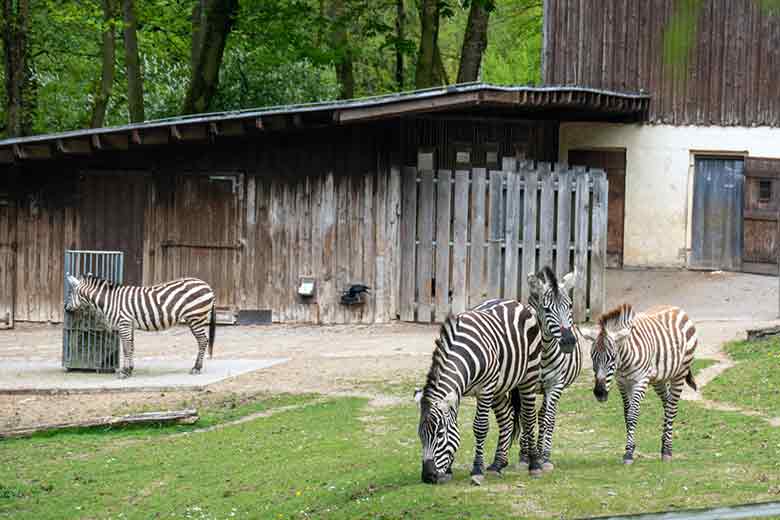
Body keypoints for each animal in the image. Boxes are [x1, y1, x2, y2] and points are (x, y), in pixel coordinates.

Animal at [63, 274, 215, 380]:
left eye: (70, 294)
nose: (66, 308)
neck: (111, 301)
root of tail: (208, 286)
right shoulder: (129, 325)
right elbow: (131, 346)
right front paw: (130, 369)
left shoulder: (124, 323)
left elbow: (126, 348)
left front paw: (124, 372)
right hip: (195, 318)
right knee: (203, 341)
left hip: (195, 317)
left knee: (203, 341)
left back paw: (196, 368)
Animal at [414, 298, 544, 486]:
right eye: (420, 435)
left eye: (439, 434)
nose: (428, 477)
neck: (463, 355)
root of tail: (516, 302)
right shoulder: (458, 391)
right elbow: (454, 426)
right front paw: (449, 469)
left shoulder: (485, 389)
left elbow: (480, 427)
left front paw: (476, 470)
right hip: (499, 386)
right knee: (507, 418)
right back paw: (498, 464)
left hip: (529, 376)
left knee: (528, 417)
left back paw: (534, 465)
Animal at [584, 302, 700, 466]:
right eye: (592, 357)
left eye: (612, 357)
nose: (599, 393)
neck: (623, 362)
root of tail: (677, 308)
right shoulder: (622, 382)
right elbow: (627, 414)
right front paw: (631, 448)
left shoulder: (641, 381)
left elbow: (633, 414)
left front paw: (628, 453)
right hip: (659, 379)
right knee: (667, 403)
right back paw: (664, 443)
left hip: (680, 373)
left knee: (672, 407)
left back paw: (667, 451)